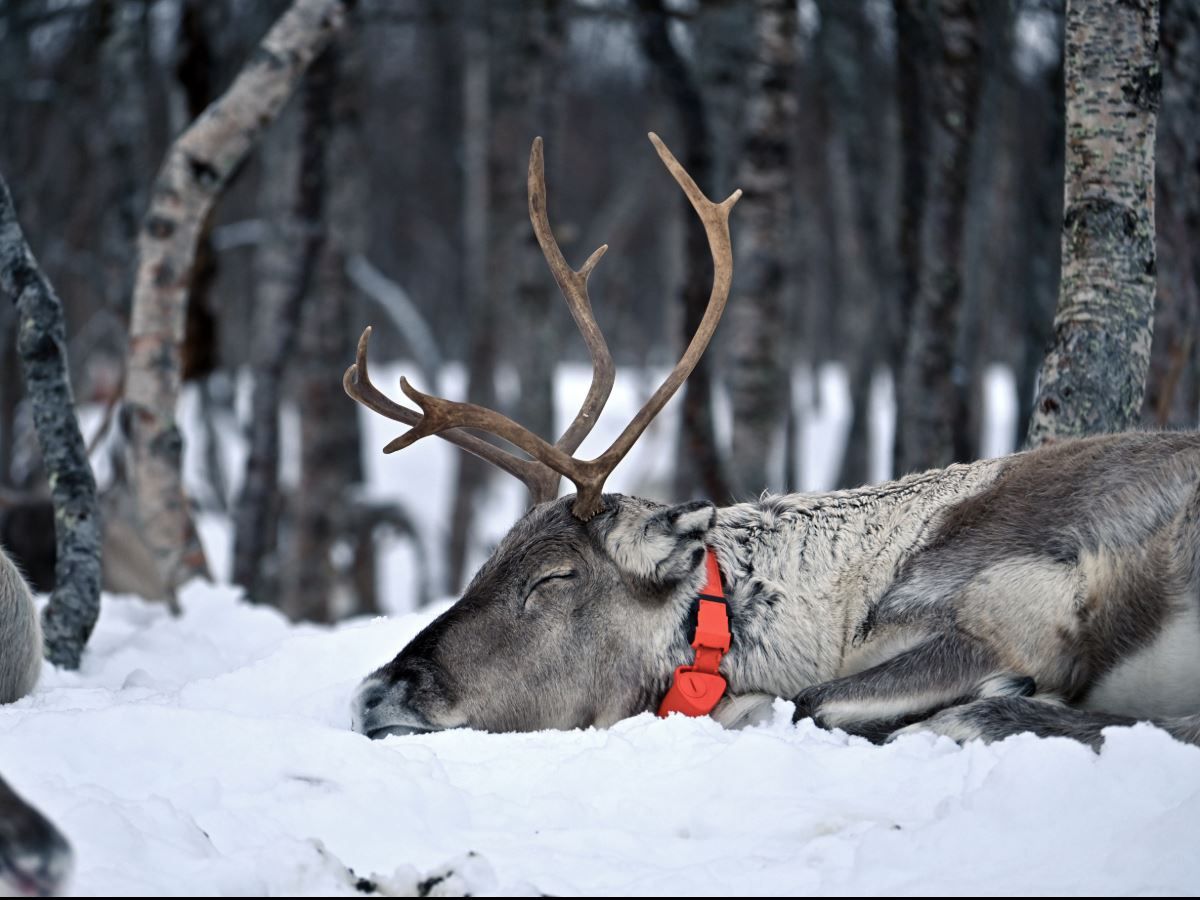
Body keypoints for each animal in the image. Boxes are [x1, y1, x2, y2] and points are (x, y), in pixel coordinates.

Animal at [344, 133, 1200, 752]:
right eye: (487, 561)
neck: (844, 608)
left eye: (554, 577)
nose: (374, 692)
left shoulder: (1018, 618)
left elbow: (812, 704)